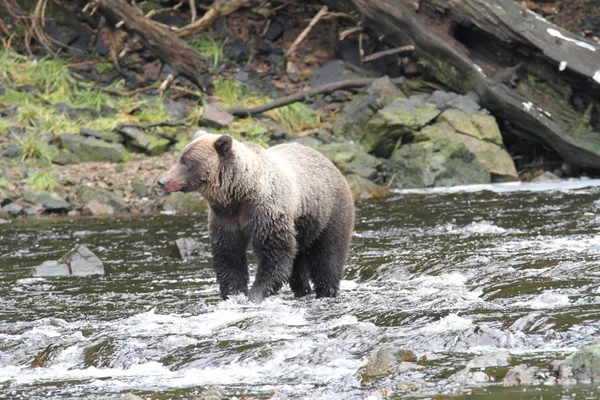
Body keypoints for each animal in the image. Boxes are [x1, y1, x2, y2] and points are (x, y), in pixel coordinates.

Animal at [161, 133, 356, 302]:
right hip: (301, 227)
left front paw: (256, 295)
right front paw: (233, 294)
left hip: (330, 211)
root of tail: (329, 162)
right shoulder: (224, 218)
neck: (239, 193)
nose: (162, 181)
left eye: (186, 161)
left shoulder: (266, 211)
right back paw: (303, 290)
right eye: (179, 157)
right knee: (298, 261)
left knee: (328, 256)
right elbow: (229, 255)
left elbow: (274, 254)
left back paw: (326, 291)